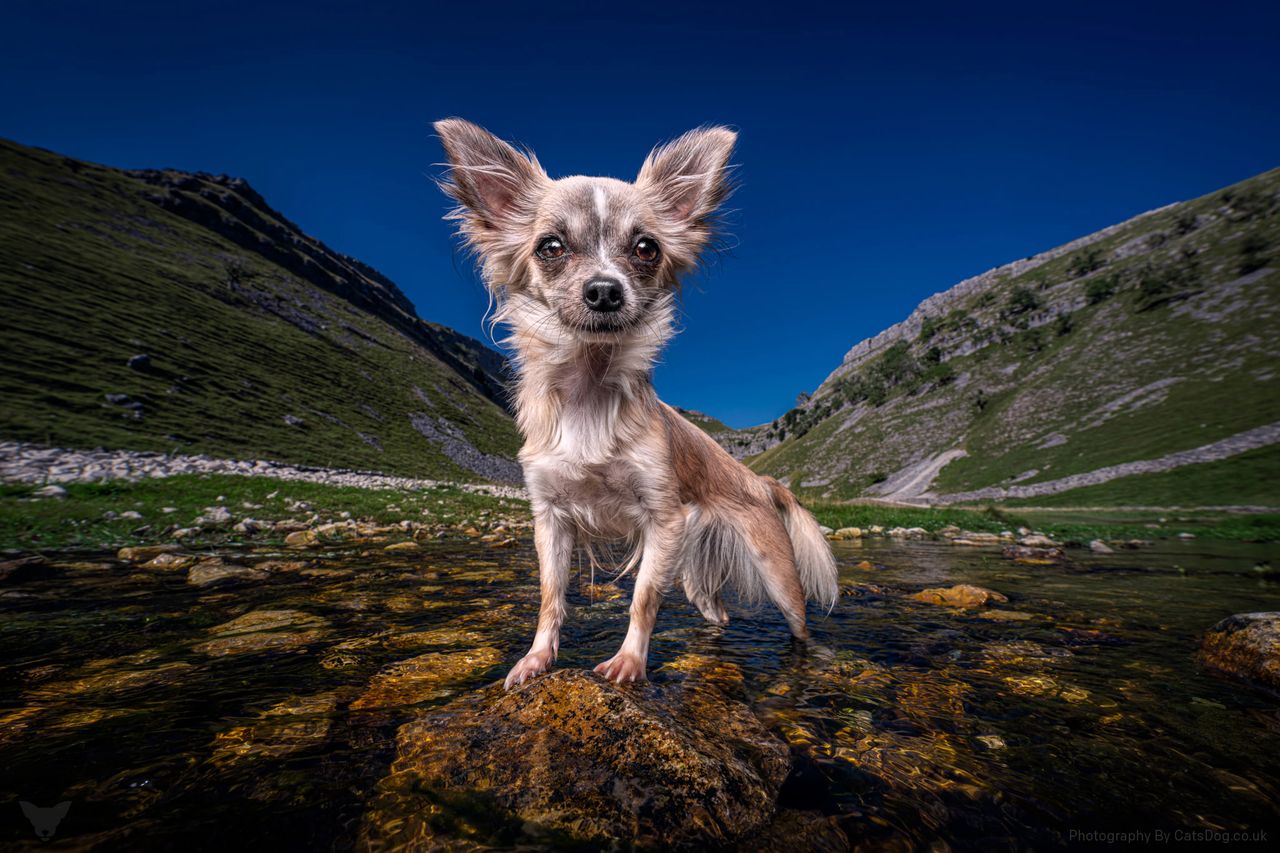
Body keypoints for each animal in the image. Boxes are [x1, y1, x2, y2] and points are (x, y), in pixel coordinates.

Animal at [437, 117, 839, 686]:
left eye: (646, 248)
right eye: (550, 247)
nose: (605, 290)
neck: (590, 390)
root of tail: (758, 480)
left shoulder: (664, 521)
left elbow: (643, 599)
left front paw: (629, 661)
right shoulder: (551, 519)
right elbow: (550, 597)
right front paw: (536, 659)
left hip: (777, 576)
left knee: (799, 625)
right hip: (692, 572)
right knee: (717, 612)